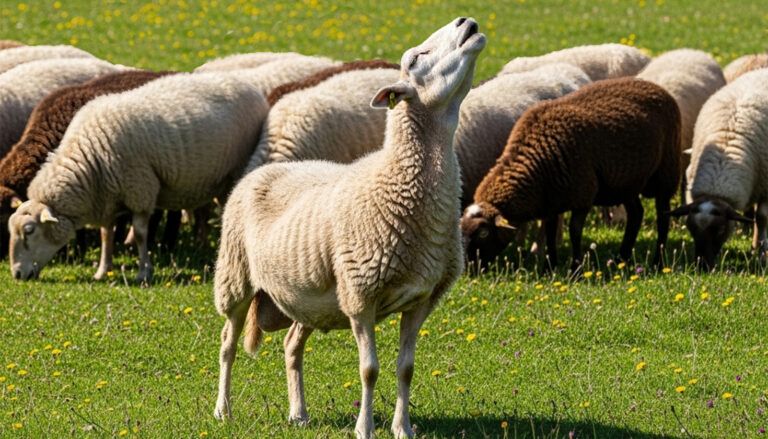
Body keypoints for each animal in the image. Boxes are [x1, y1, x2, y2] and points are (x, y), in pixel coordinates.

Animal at [461, 78, 681, 271]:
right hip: (627, 182)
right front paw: (549, 268)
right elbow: (550, 234)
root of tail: (656, 87)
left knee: (662, 217)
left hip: (666, 172)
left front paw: (576, 269)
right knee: (636, 214)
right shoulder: (550, 203)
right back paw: (621, 258)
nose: (469, 269)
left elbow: (575, 232)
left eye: (483, 233)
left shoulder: (583, 195)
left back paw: (658, 262)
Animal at [667, 69, 768, 269]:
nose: (702, 266)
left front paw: (762, 254)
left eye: (720, 230)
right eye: (690, 228)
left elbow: (761, 218)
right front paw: (756, 249)